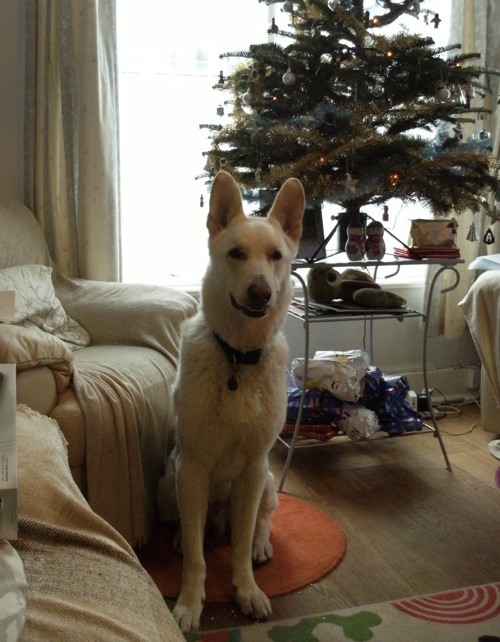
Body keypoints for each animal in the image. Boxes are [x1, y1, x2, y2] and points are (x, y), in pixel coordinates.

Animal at [157, 170, 304, 633]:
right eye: (236, 253)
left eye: (276, 256)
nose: (261, 293)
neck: (238, 355)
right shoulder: (191, 468)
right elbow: (198, 558)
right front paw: (189, 602)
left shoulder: (255, 467)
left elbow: (238, 549)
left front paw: (246, 589)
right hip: (170, 482)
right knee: (194, 529)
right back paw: (181, 539)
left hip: (267, 483)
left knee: (262, 519)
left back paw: (260, 546)